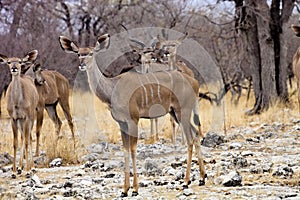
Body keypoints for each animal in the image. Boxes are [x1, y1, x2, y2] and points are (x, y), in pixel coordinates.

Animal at [0, 50, 39, 178]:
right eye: (8, 62)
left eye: (20, 61)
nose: (14, 68)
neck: (17, 103)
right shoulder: (13, 118)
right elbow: (15, 142)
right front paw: (13, 172)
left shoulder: (26, 117)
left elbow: (27, 141)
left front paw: (28, 171)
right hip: (21, 121)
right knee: (23, 137)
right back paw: (20, 168)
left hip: (31, 117)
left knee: (29, 137)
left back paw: (31, 168)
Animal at [59, 34, 206, 197]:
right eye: (78, 53)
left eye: (91, 53)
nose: (82, 65)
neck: (112, 89)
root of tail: (194, 83)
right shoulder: (122, 123)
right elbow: (125, 150)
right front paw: (124, 190)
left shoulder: (133, 120)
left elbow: (133, 150)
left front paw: (135, 189)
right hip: (175, 113)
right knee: (196, 134)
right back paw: (201, 178)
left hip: (182, 112)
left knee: (190, 139)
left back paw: (186, 181)